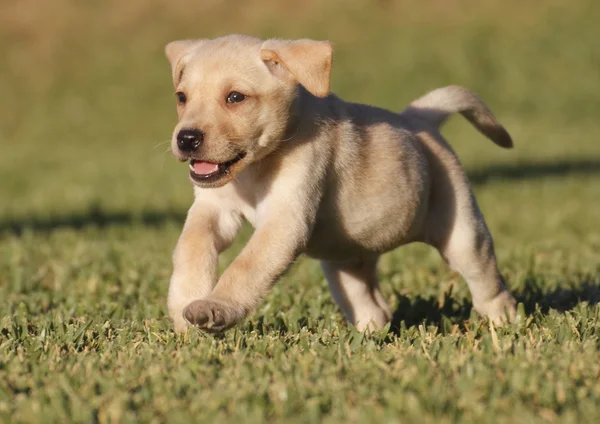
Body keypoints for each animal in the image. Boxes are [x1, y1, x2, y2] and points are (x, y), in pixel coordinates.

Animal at [163, 34, 516, 332]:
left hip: (464, 236)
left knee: (490, 287)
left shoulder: (284, 221)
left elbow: (246, 266)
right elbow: (191, 247)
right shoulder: (213, 210)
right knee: (373, 307)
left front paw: (216, 307)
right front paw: (183, 307)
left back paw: (502, 324)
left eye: (235, 97)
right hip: (344, 262)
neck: (254, 169)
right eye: (181, 97)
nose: (186, 138)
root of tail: (419, 120)